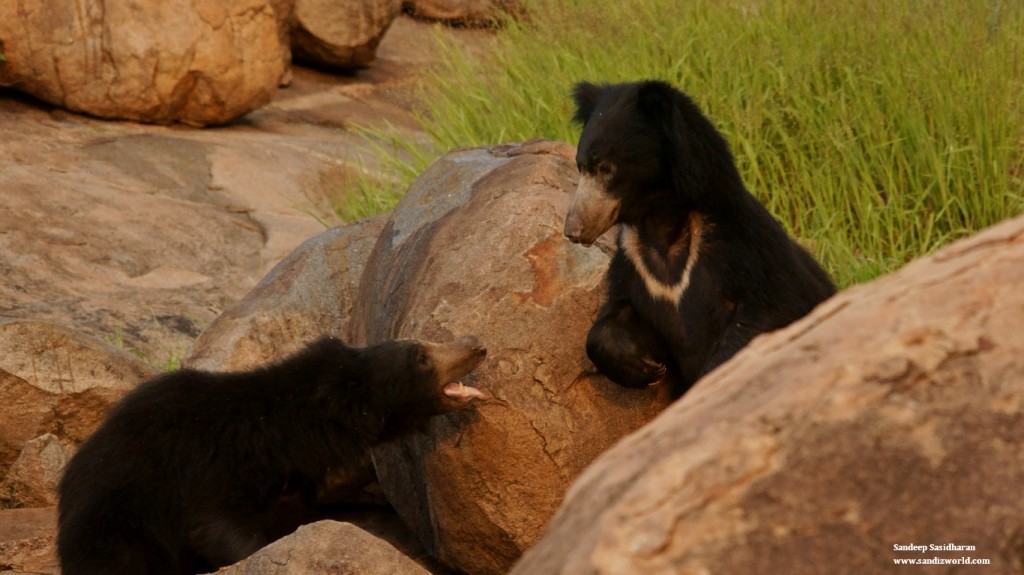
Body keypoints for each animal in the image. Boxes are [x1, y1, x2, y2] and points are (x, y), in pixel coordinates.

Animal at [565, 79, 835, 392]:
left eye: (606, 168)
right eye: (581, 167)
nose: (573, 229)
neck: (662, 222)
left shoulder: (741, 248)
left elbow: (770, 311)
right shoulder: (633, 264)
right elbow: (615, 314)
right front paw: (645, 367)